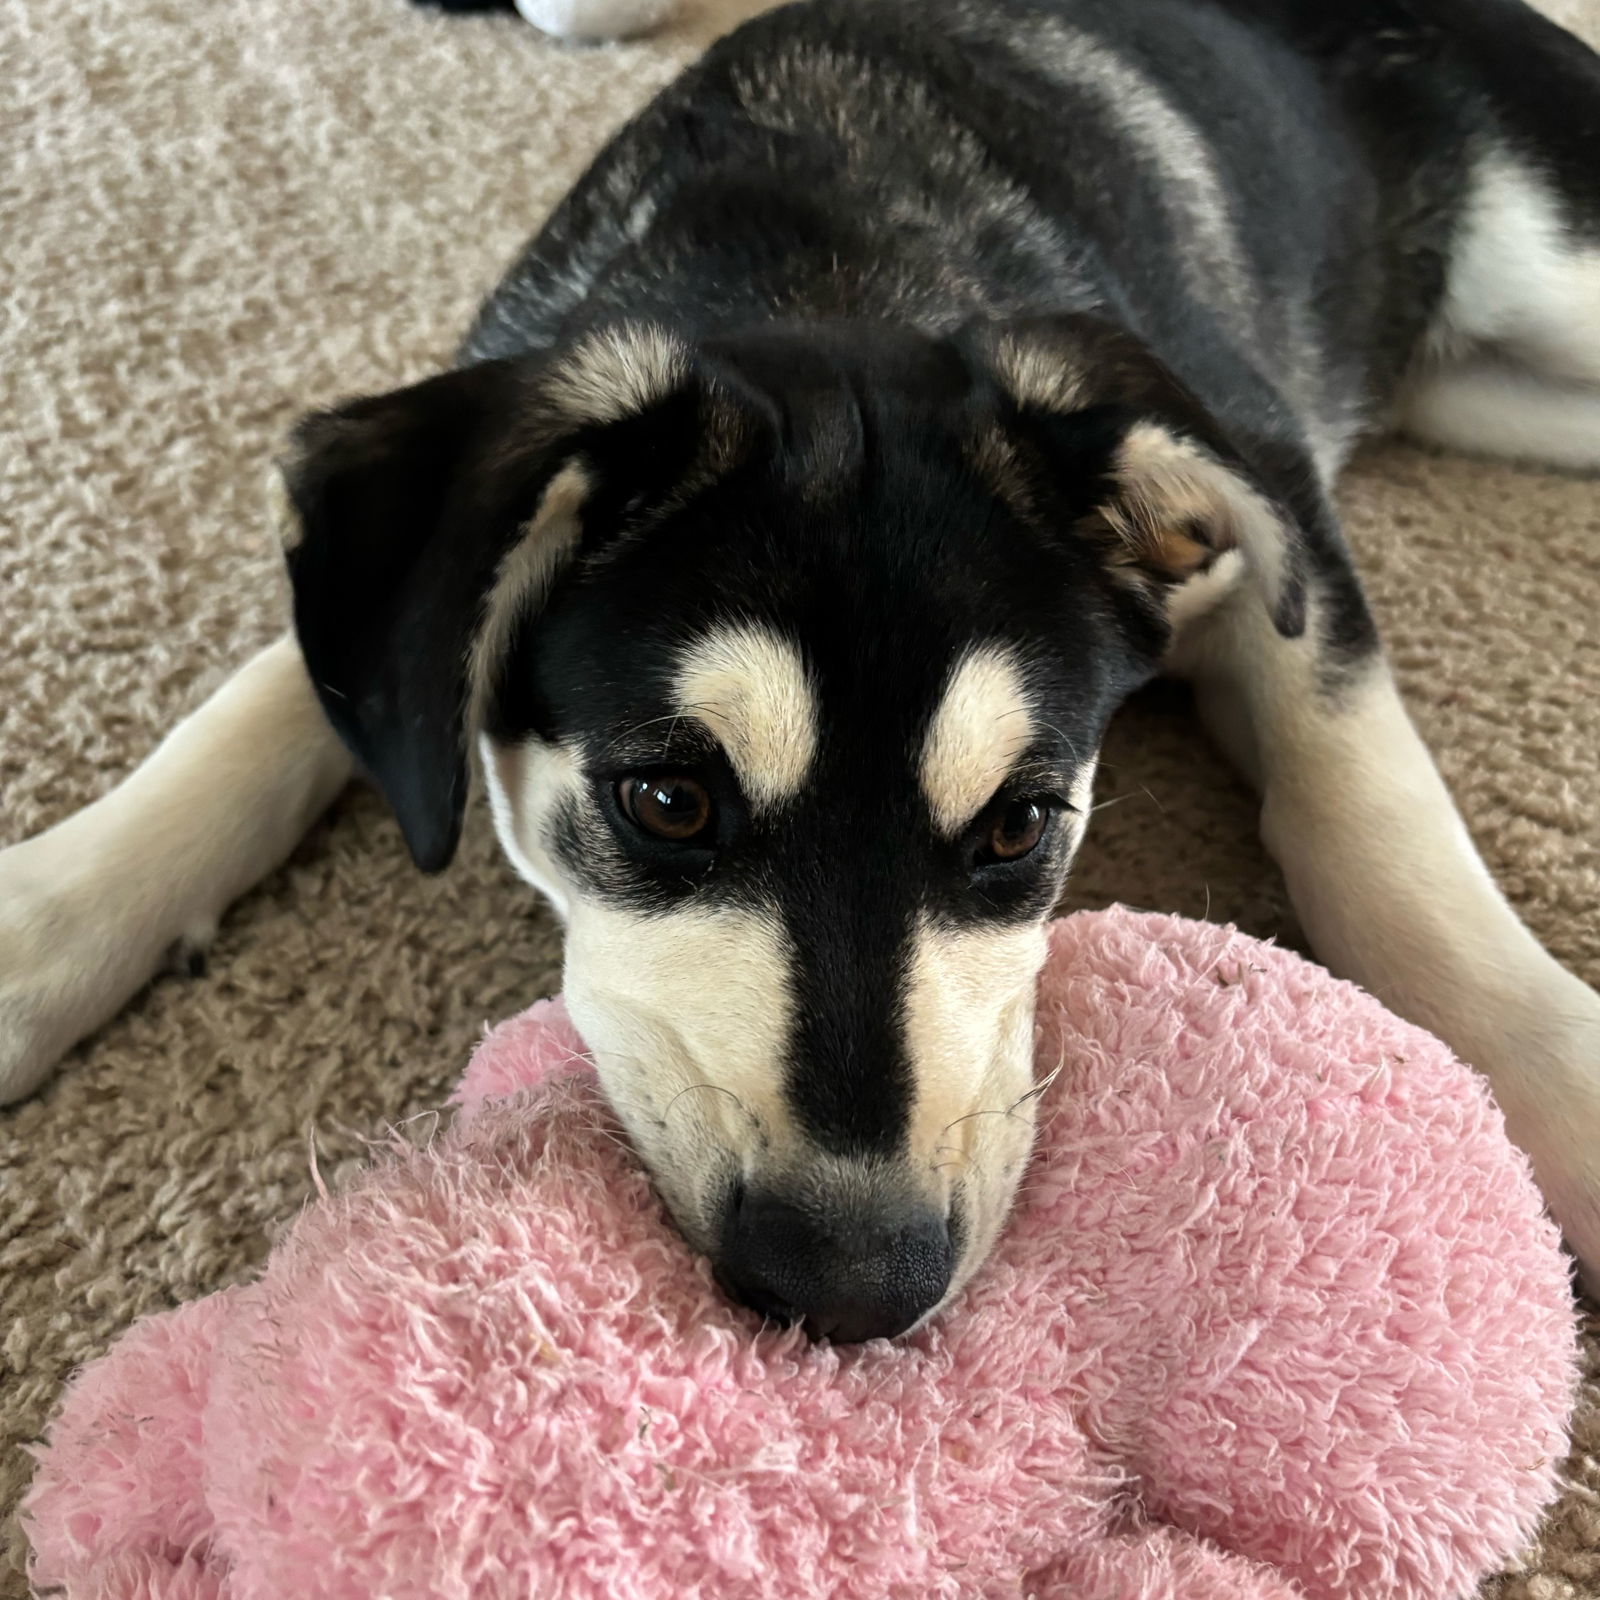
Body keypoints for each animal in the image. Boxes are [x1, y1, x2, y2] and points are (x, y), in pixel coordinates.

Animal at [3, 0, 1600, 1344]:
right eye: (666, 802)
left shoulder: (1272, 505)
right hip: (1491, 394)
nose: (850, 1285)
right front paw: (49, 916)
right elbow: (286, 689)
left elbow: (1362, 811)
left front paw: (1558, 1087)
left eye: (1022, 826)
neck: (833, 267)